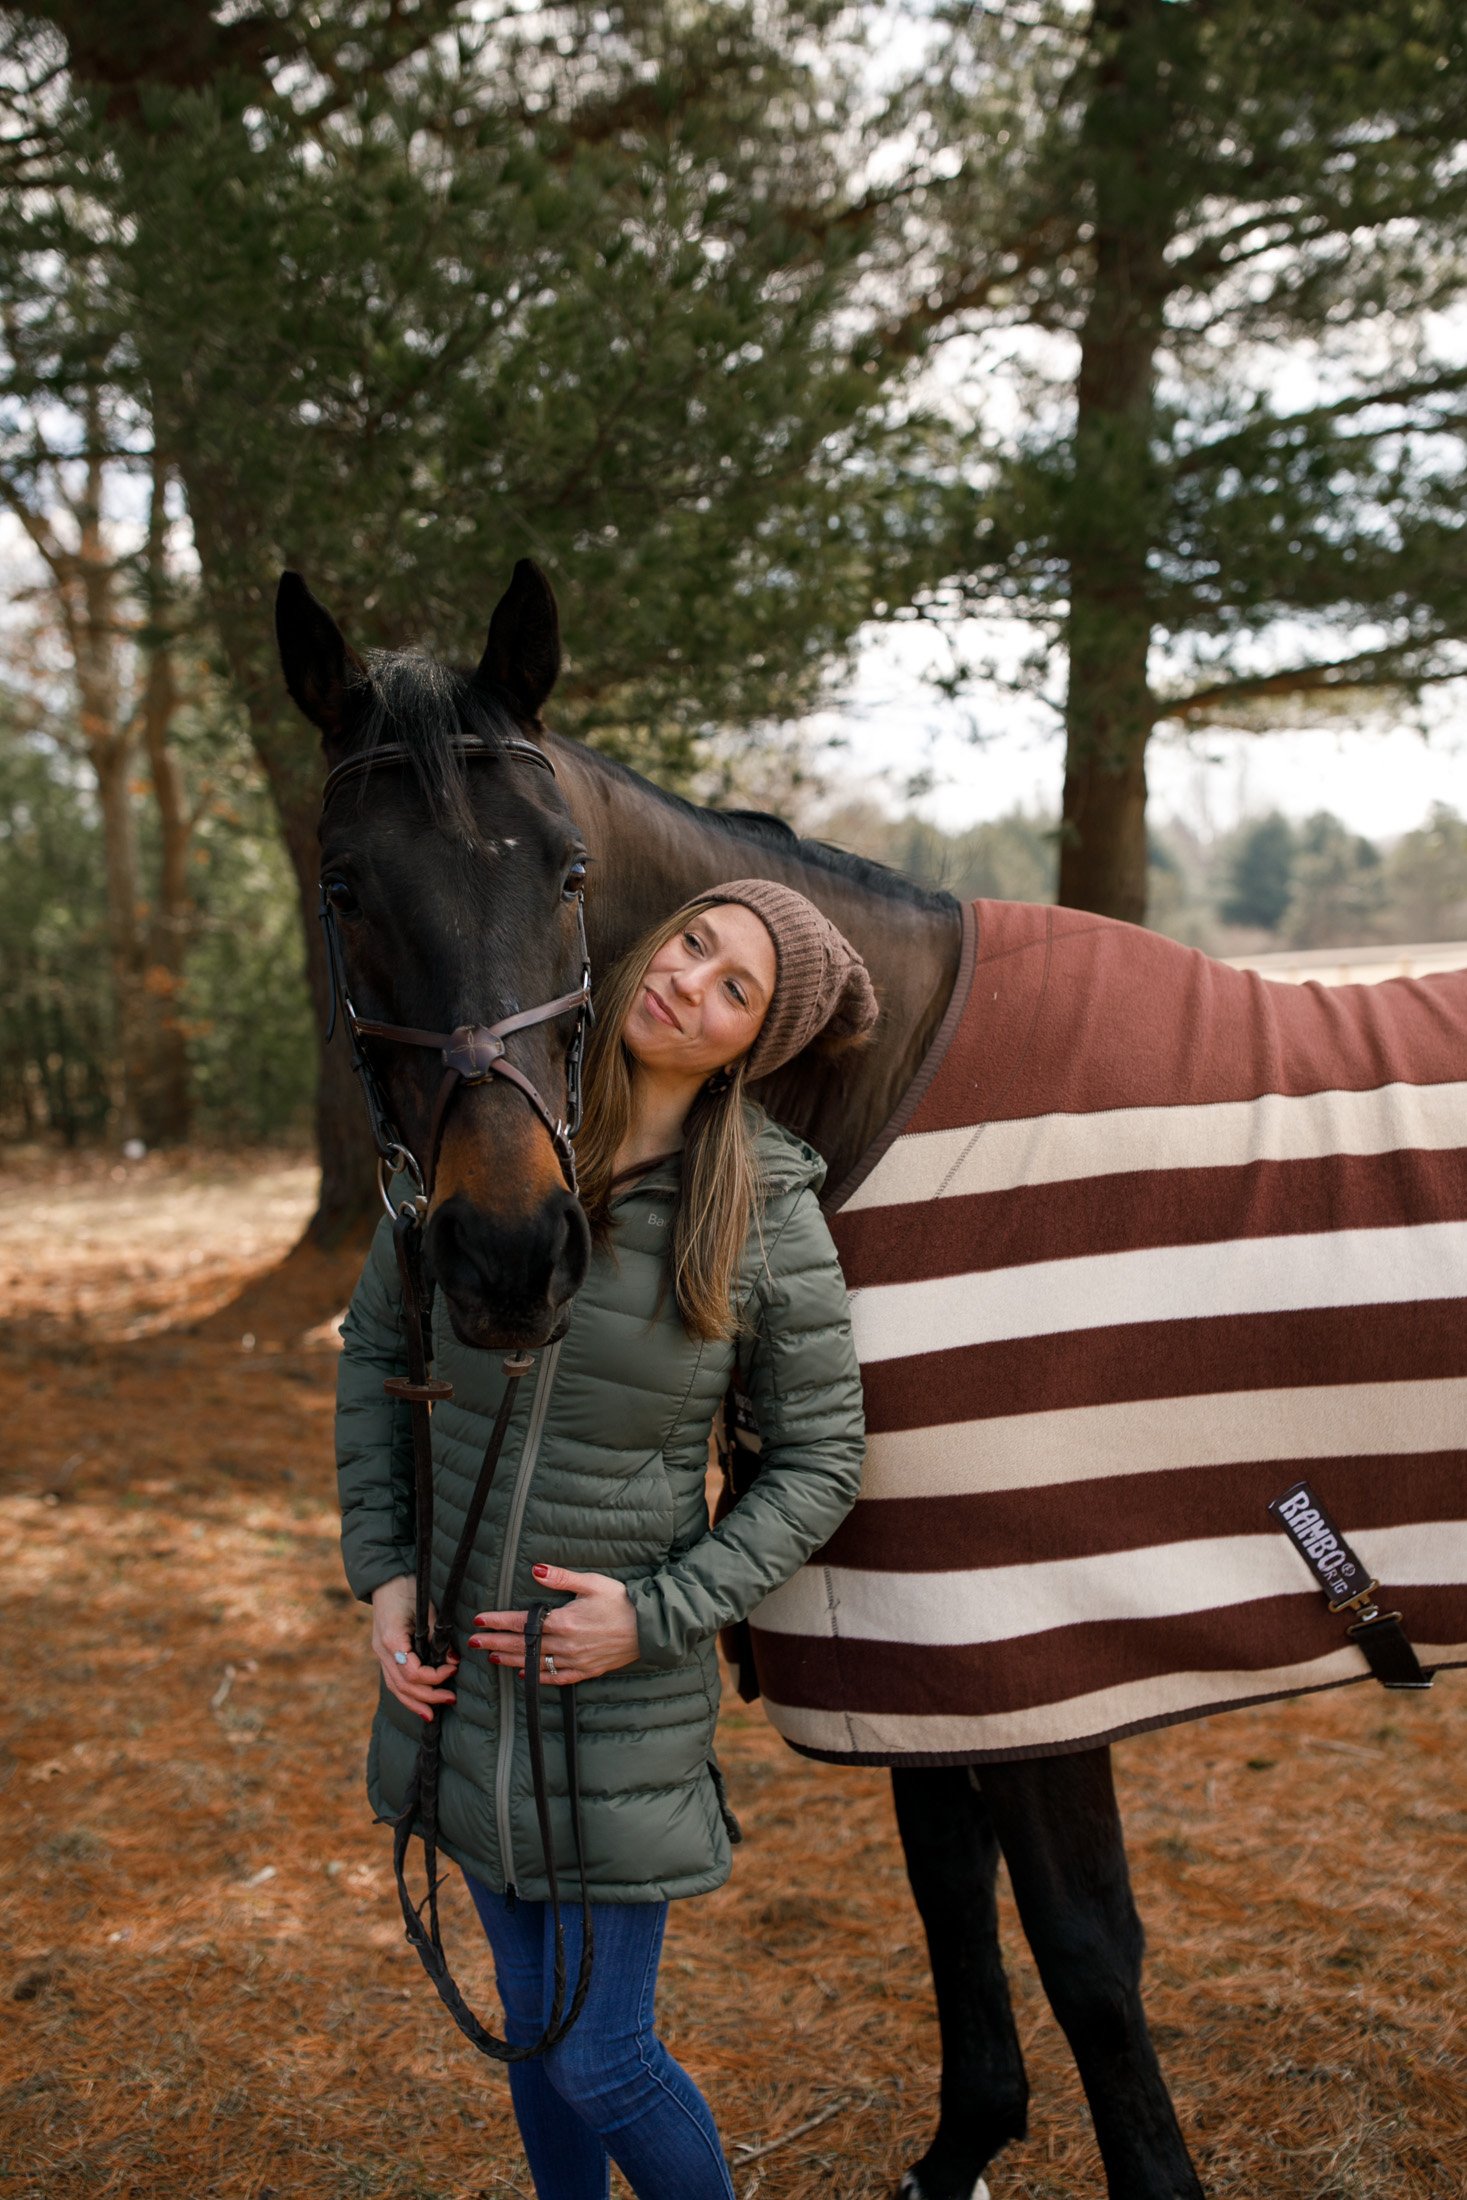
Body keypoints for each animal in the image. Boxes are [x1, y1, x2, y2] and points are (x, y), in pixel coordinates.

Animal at [278, 558, 1467, 2200]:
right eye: (343, 889)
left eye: (570, 876)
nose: (512, 1254)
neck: (885, 1090)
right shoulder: (921, 1649)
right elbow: (950, 1896)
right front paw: (963, 2143)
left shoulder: (1038, 1650)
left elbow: (1085, 1954)